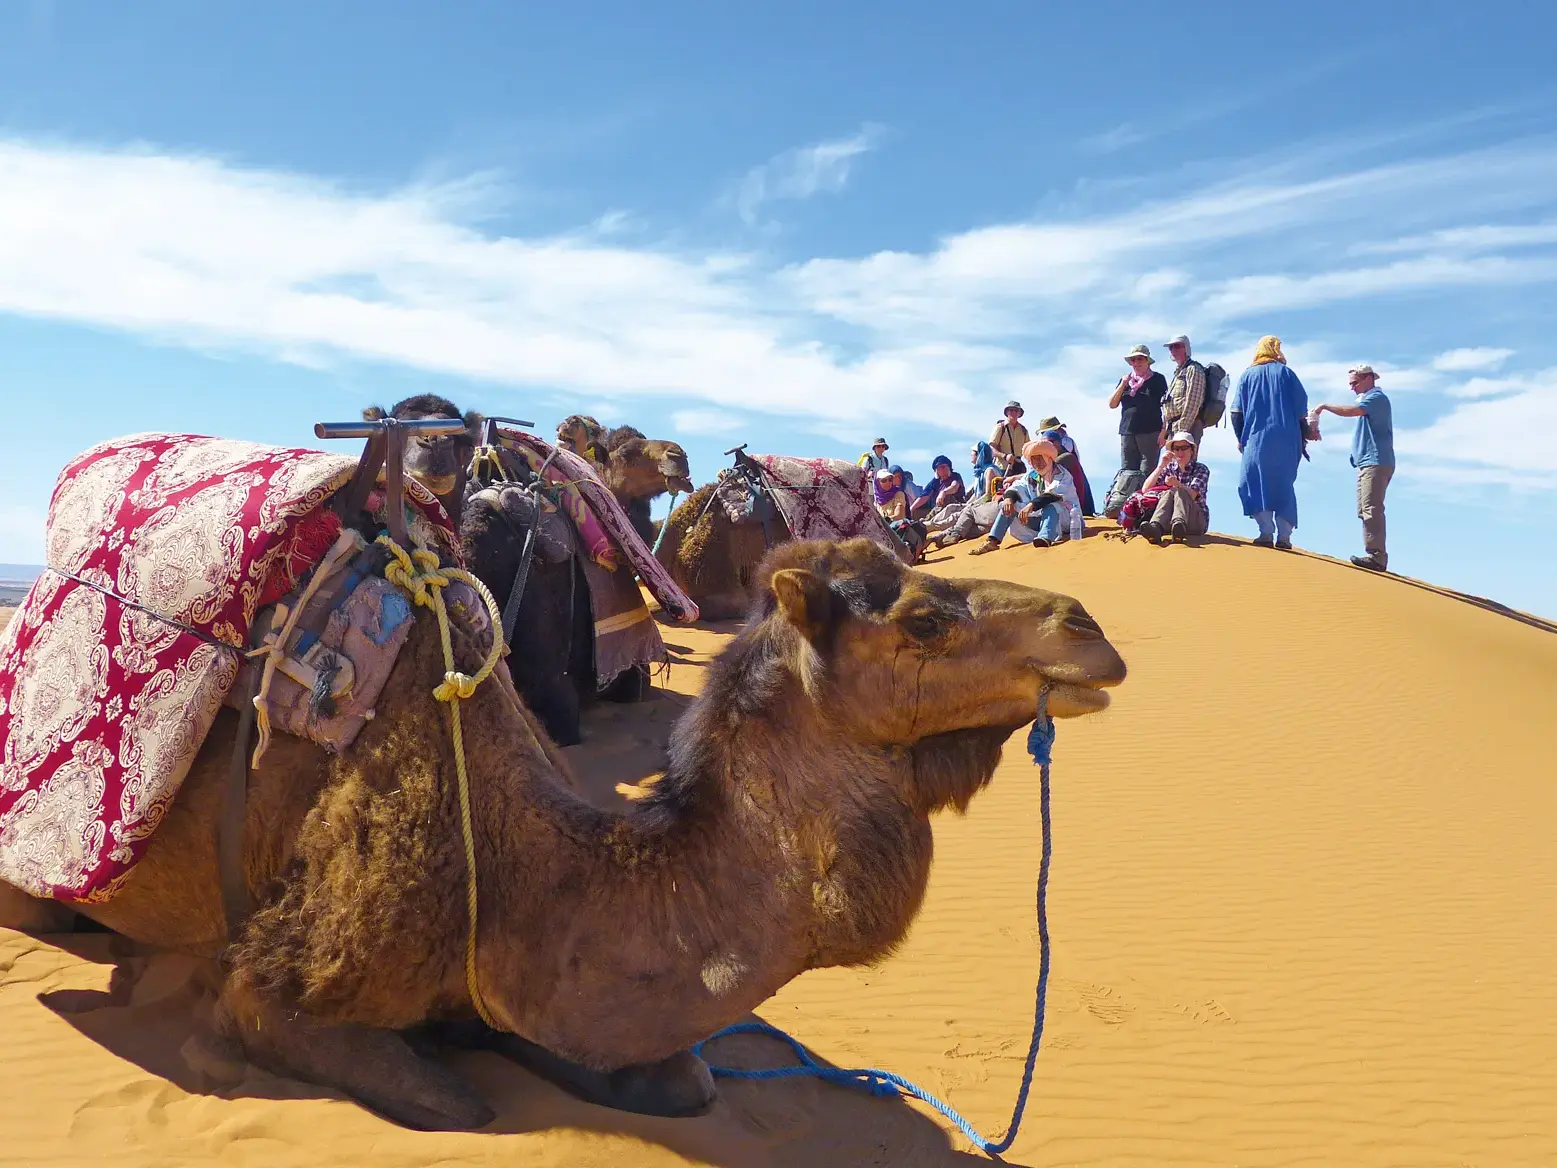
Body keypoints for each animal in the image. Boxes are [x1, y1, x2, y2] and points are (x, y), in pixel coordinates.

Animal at [1, 537, 1125, 1131]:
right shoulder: (274, 981)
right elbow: (450, 1103)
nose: (1088, 629)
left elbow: (683, 1075)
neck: (517, 868)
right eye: (922, 622)